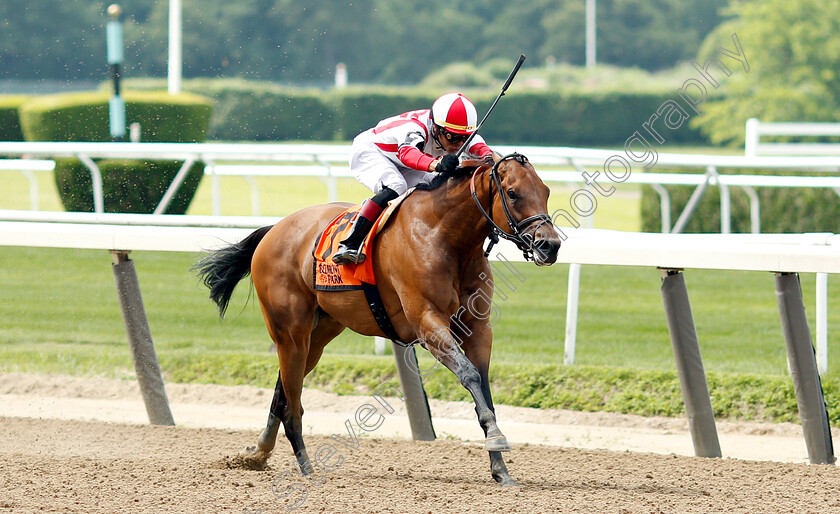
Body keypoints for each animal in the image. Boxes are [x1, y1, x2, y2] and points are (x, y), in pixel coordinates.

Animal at [196, 153, 560, 484]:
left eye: (545, 190)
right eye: (512, 193)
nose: (550, 245)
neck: (445, 236)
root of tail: (275, 229)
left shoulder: (477, 329)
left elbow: (483, 385)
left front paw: (500, 467)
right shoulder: (428, 324)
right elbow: (469, 375)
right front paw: (497, 440)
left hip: (320, 333)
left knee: (283, 390)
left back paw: (257, 454)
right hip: (289, 331)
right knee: (292, 402)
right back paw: (306, 468)